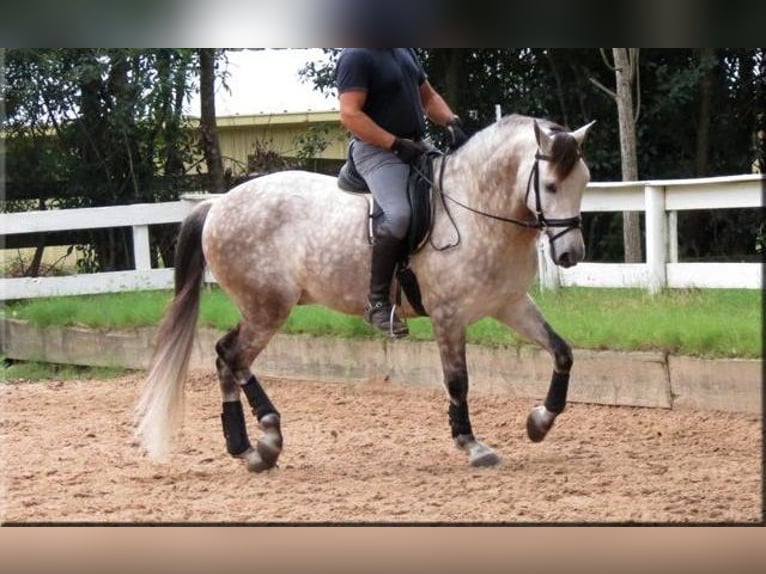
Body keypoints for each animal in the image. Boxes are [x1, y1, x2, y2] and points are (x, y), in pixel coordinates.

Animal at [135, 113, 596, 472]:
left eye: (584, 182)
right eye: (551, 186)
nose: (570, 254)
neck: (476, 207)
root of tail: (216, 205)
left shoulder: (510, 304)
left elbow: (562, 352)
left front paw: (539, 422)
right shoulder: (448, 316)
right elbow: (458, 381)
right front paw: (472, 444)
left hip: (261, 307)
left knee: (226, 358)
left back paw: (252, 447)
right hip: (267, 307)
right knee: (233, 357)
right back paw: (263, 441)